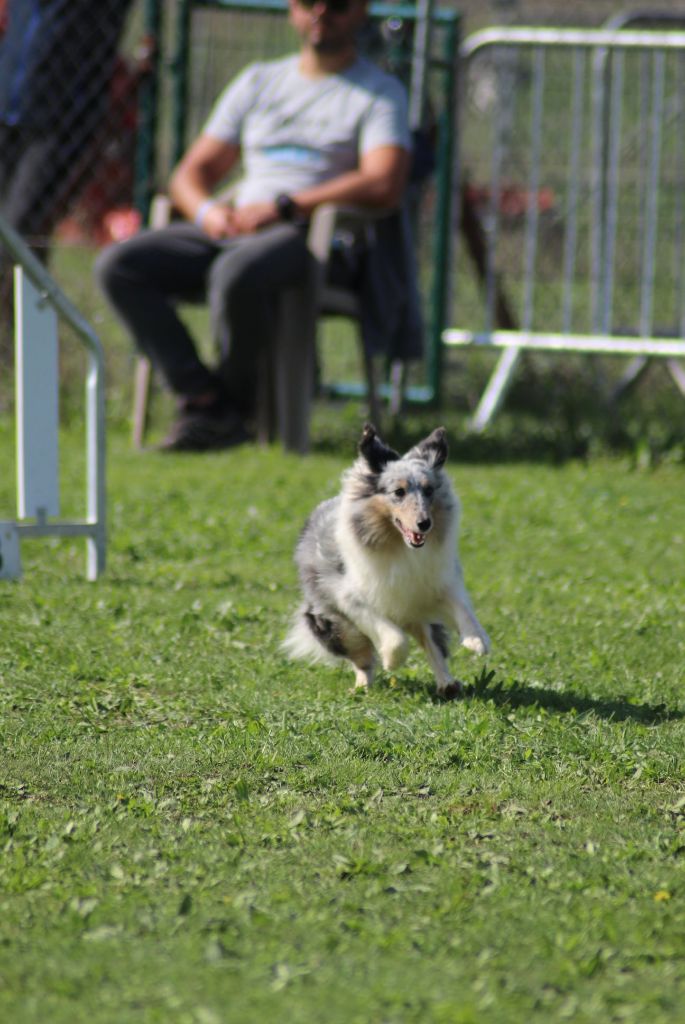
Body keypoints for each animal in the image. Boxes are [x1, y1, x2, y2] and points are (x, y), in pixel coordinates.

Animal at [280, 421, 489, 696]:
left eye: (429, 490)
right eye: (398, 492)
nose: (425, 523)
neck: (400, 546)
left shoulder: (437, 581)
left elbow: (462, 609)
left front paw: (477, 641)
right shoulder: (350, 597)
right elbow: (395, 638)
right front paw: (392, 660)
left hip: (414, 612)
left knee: (431, 643)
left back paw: (448, 684)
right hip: (334, 622)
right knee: (362, 656)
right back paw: (362, 687)